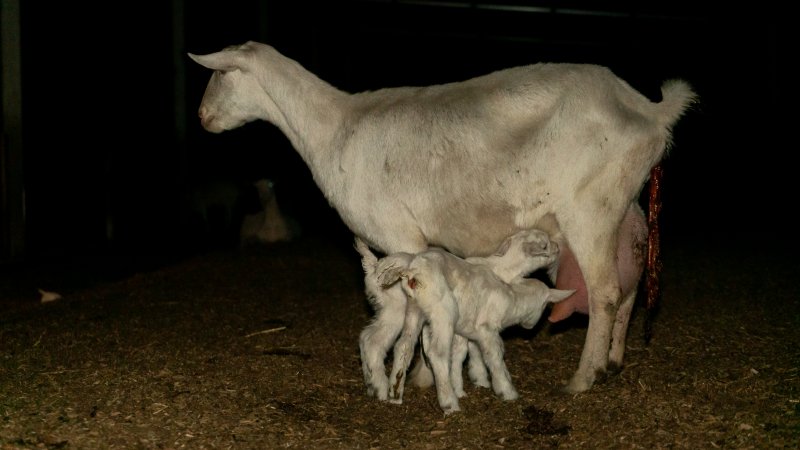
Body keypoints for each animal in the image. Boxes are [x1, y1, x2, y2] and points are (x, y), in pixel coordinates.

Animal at [189, 41, 692, 394]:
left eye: (219, 74)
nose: (201, 117)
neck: (332, 129)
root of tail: (649, 110)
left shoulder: (400, 234)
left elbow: (417, 311)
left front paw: (418, 378)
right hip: (624, 206)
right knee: (630, 282)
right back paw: (613, 362)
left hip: (590, 207)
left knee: (605, 292)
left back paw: (583, 379)